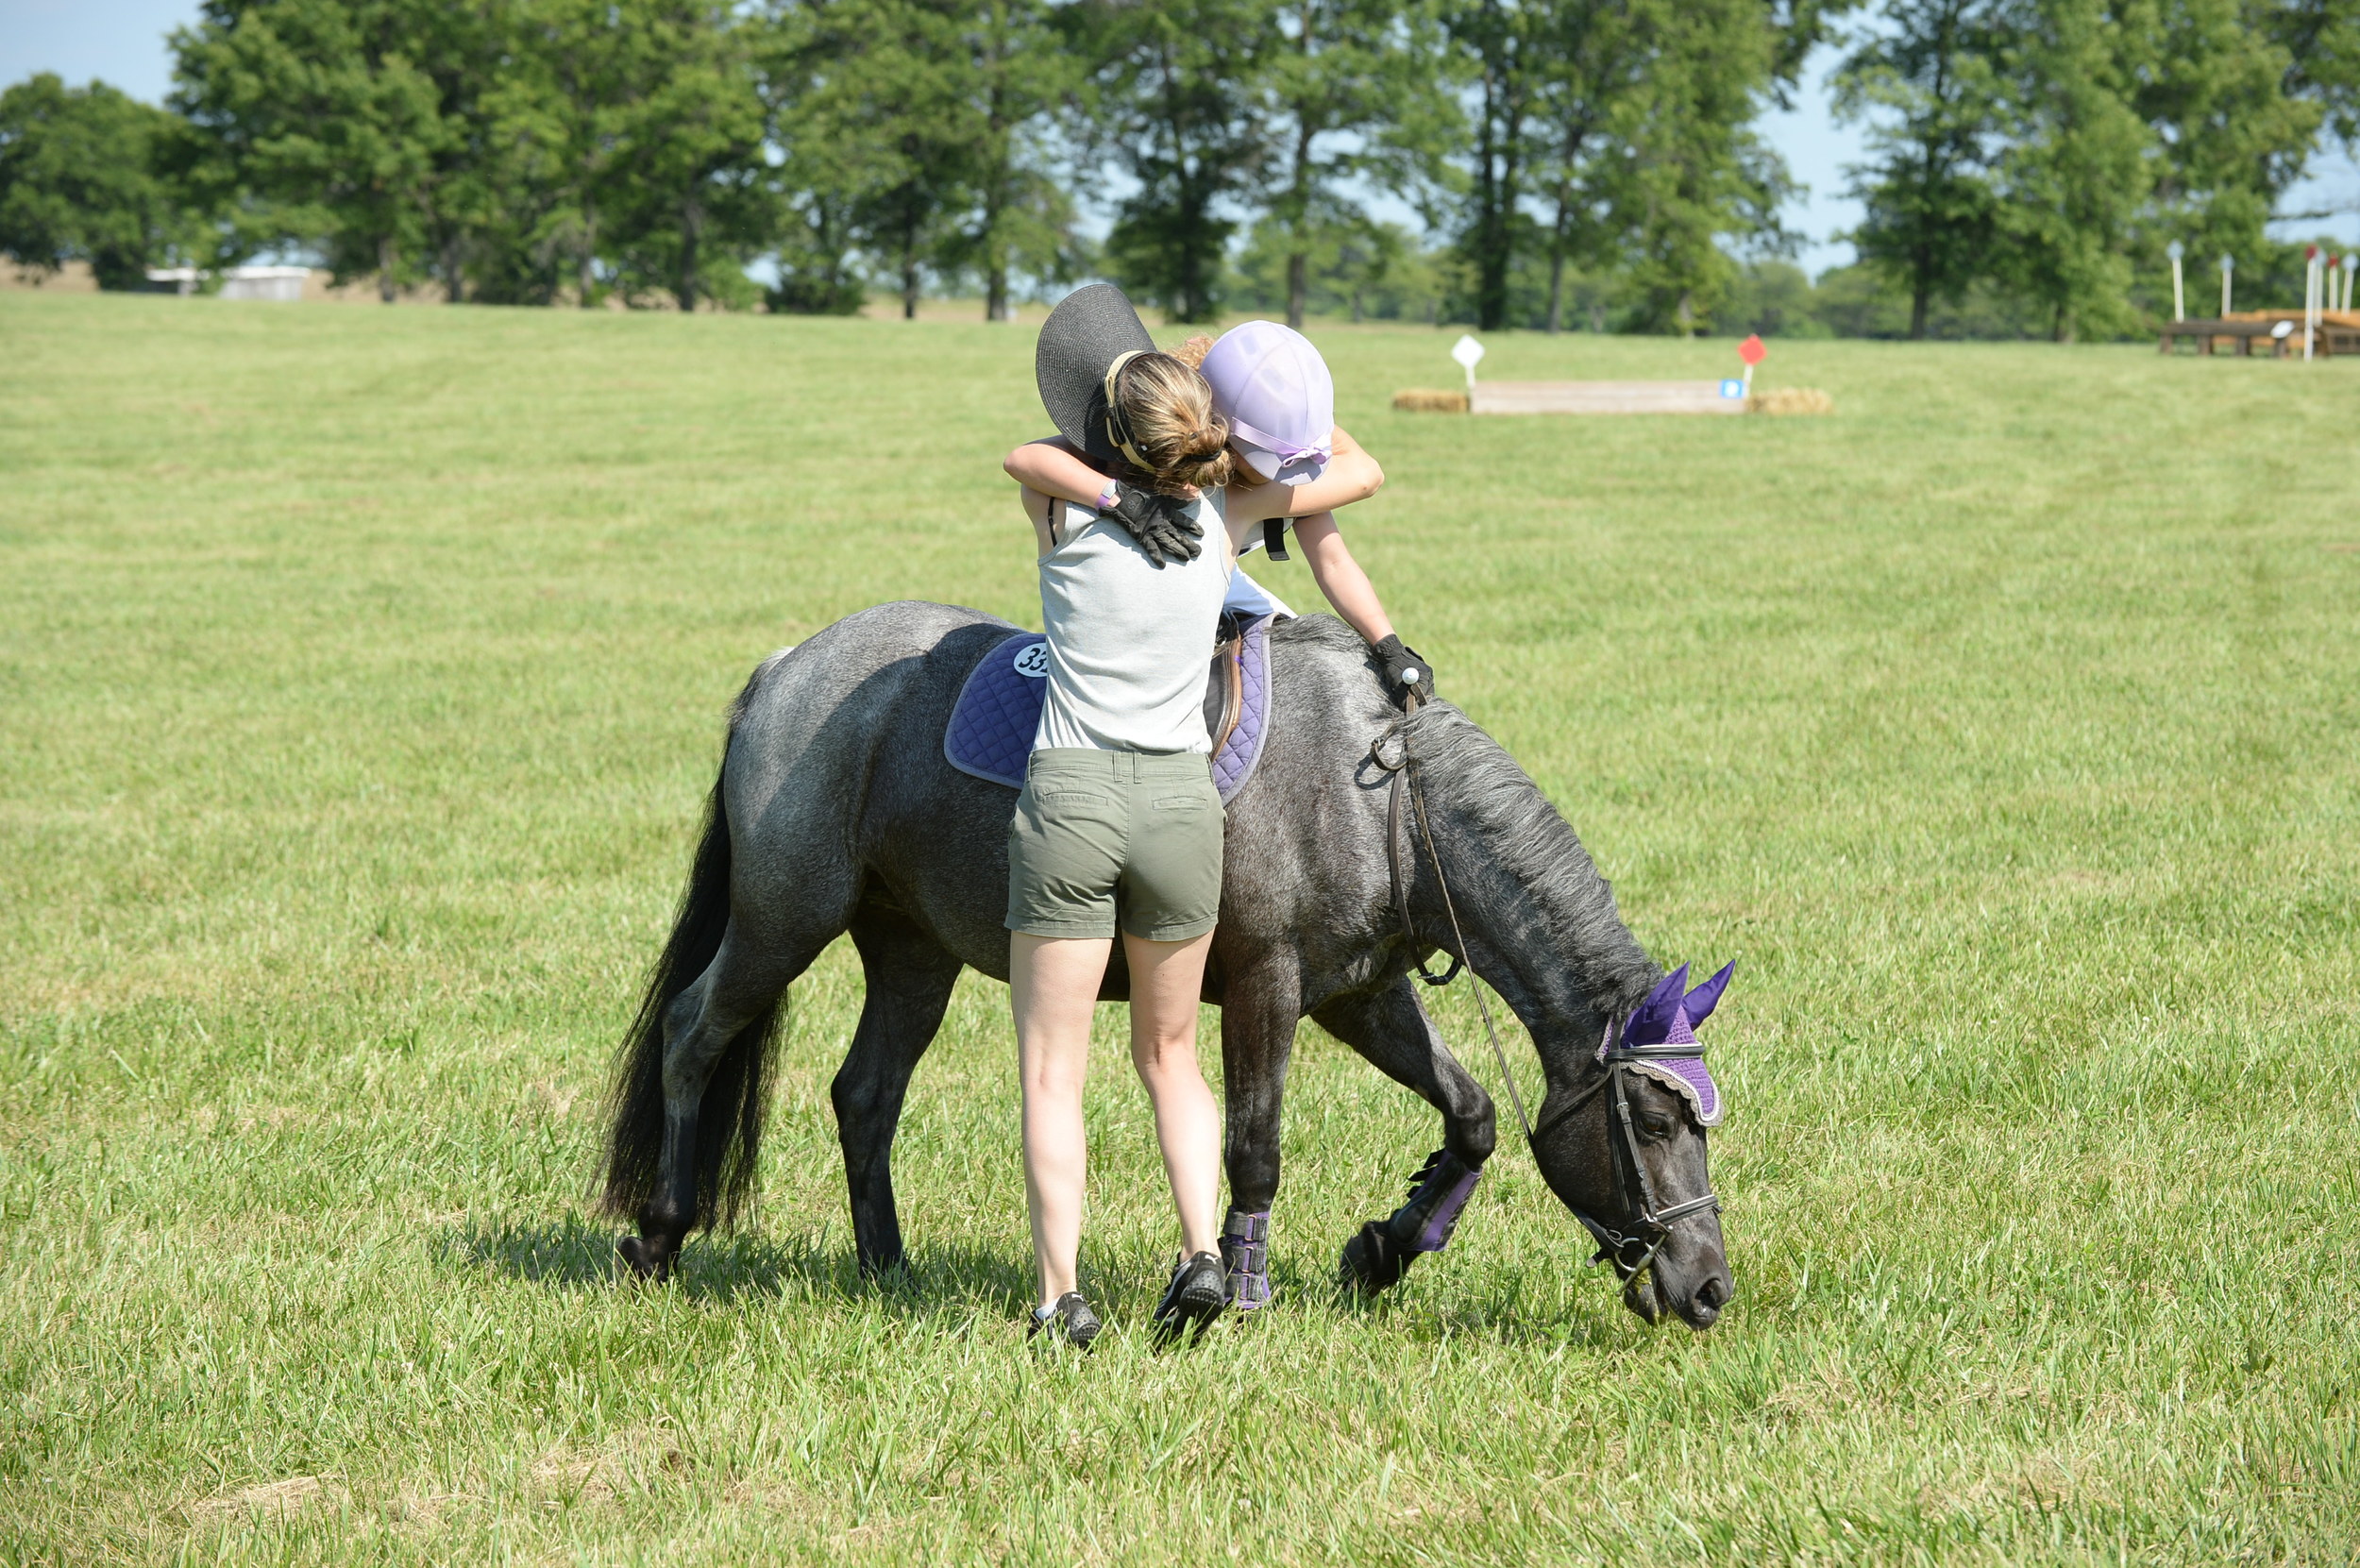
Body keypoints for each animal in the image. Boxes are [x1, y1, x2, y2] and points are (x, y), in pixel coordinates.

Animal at [599, 597, 1737, 1322]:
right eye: (1651, 1120)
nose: (1708, 1285)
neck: (1382, 796)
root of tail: (789, 665)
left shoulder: (1361, 994)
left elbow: (1473, 1115)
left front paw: (1383, 1249)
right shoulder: (1268, 986)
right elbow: (1255, 1145)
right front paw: (1237, 1288)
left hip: (914, 952)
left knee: (865, 1093)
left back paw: (888, 1266)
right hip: (783, 919)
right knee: (693, 1033)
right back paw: (659, 1232)